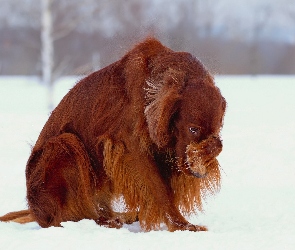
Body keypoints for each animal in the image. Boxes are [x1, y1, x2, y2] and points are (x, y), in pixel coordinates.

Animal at [0, 38, 227, 231]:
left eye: (216, 130)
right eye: (192, 129)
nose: (199, 174)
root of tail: (35, 210)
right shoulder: (132, 148)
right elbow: (161, 190)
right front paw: (182, 225)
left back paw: (121, 216)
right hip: (65, 144)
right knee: (63, 218)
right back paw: (104, 221)